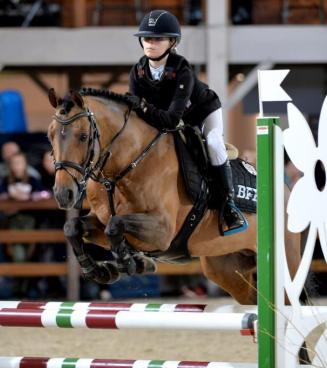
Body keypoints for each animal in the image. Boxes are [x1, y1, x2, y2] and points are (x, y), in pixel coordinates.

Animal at [46, 88, 302, 304]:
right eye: (50, 136)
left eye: (82, 136)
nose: (63, 194)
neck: (125, 165)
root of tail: (286, 190)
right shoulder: (100, 220)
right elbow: (73, 227)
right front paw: (99, 269)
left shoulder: (162, 231)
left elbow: (115, 226)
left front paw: (131, 263)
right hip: (226, 268)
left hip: (284, 264)